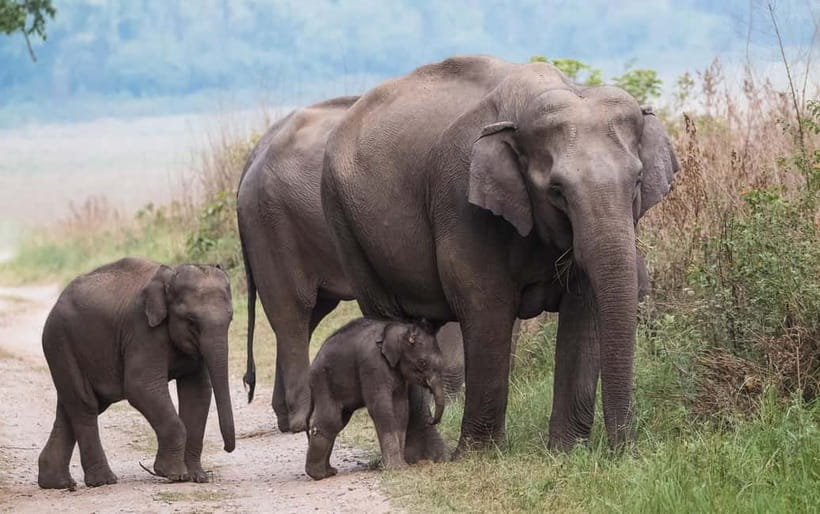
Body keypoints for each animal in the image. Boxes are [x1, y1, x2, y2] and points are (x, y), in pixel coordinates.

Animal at [37, 258, 235, 489]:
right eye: (191, 321)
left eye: (231, 319)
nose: (227, 449)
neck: (170, 276)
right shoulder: (142, 330)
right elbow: (141, 387)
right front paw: (173, 474)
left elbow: (198, 391)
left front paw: (197, 477)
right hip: (60, 343)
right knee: (85, 405)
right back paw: (103, 481)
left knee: (72, 405)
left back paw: (56, 482)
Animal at [237, 96, 469, 461]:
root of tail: (254, 155)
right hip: (271, 224)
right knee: (292, 312)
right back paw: (300, 421)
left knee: (310, 314)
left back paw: (287, 416)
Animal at [305, 318, 445, 480]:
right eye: (422, 362)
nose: (431, 420)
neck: (397, 329)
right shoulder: (372, 364)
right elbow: (381, 407)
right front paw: (397, 469)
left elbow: (401, 409)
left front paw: (402, 466)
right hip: (323, 381)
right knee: (330, 420)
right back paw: (319, 475)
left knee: (339, 422)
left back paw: (329, 472)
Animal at [321, 55, 679, 453]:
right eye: (556, 190)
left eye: (637, 181)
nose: (625, 448)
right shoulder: (461, 197)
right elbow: (486, 302)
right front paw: (481, 452)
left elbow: (584, 308)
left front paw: (567, 451)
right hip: (344, 222)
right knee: (387, 317)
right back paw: (429, 455)